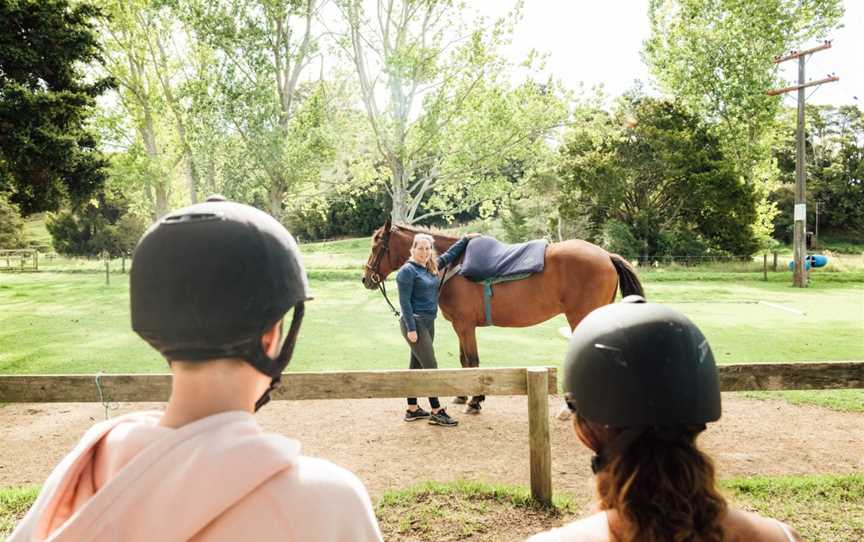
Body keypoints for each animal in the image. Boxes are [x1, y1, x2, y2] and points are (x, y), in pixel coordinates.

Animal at [362, 219, 644, 414]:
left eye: (376, 246)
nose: (366, 278)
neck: (453, 265)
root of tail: (606, 255)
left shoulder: (464, 326)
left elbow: (471, 362)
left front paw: (475, 401)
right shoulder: (463, 327)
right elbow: (465, 361)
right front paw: (465, 396)